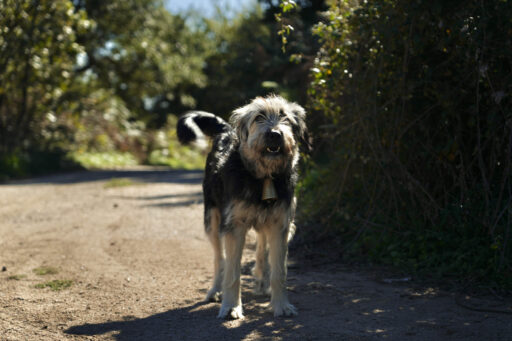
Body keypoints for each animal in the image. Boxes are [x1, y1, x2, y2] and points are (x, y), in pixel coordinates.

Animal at [176, 94, 308, 318]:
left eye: (285, 118)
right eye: (259, 117)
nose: (275, 134)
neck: (263, 176)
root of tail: (226, 130)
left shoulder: (280, 225)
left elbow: (279, 271)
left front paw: (281, 305)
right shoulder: (234, 226)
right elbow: (232, 271)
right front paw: (231, 307)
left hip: (264, 223)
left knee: (262, 250)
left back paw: (262, 284)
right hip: (212, 220)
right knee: (219, 259)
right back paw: (215, 290)